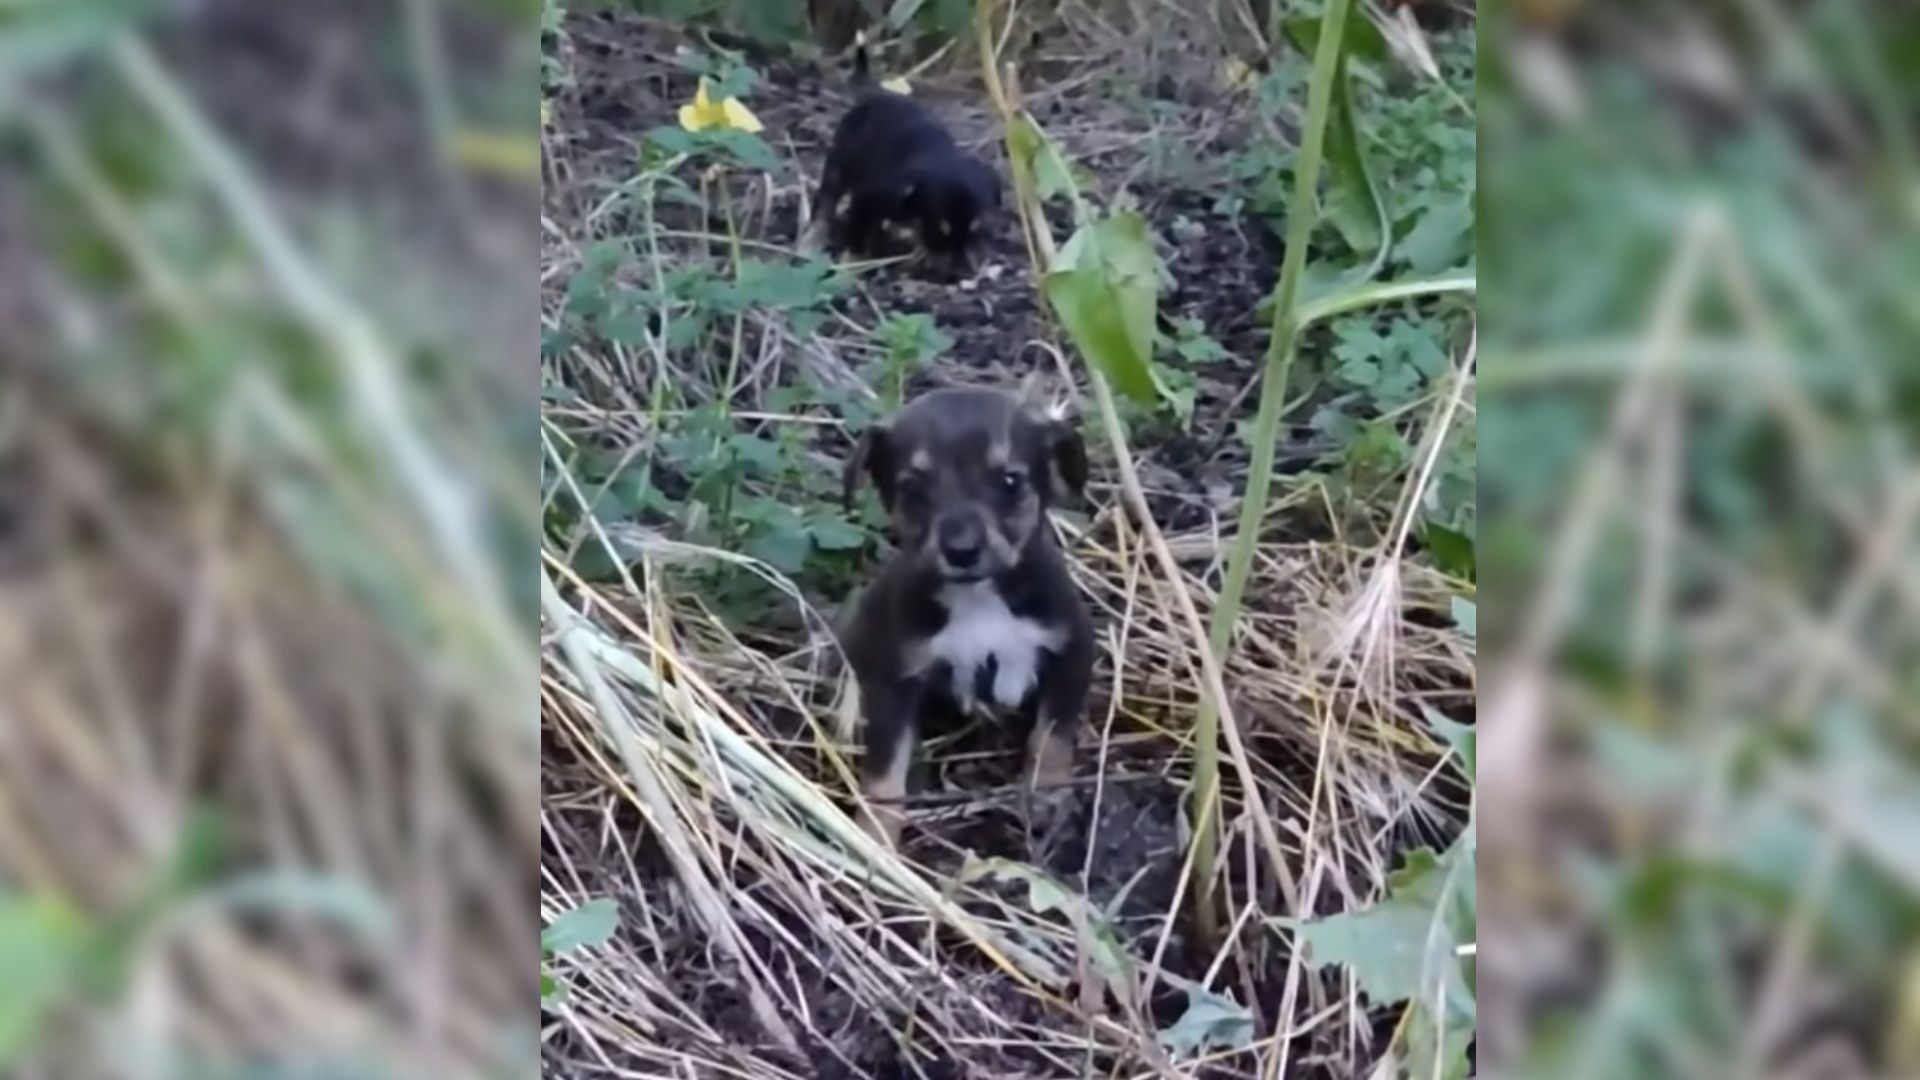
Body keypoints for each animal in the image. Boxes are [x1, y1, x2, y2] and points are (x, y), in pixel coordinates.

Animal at [844, 382, 1098, 845]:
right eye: (913, 488)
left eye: (1010, 481)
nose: (961, 551)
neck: (979, 598)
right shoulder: (894, 681)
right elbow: (885, 777)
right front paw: (874, 838)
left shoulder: (1072, 651)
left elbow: (1051, 735)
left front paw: (1047, 796)